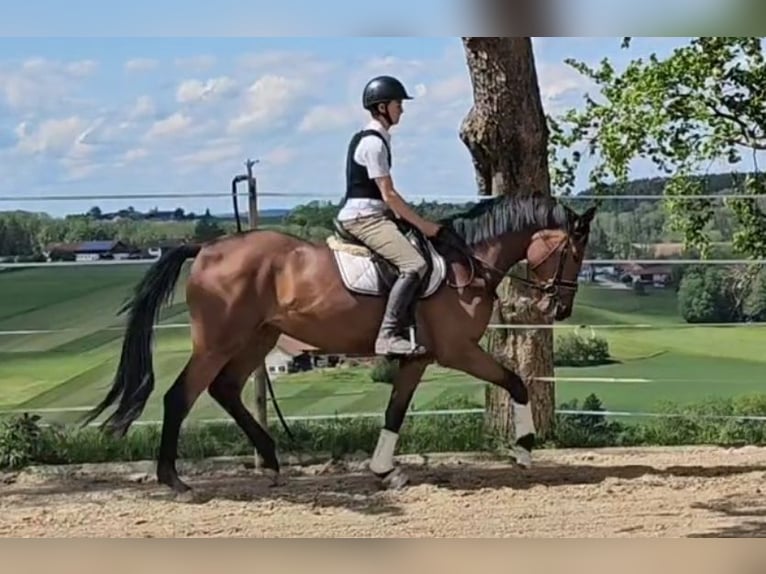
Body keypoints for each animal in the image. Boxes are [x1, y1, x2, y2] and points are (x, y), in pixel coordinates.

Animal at [84, 194, 600, 496]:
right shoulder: (458, 351)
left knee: (225, 390)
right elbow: (515, 382)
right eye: (574, 252)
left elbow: (395, 411)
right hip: (218, 341)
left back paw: (271, 460)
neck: (466, 265)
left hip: (256, 338)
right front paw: (524, 449)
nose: (561, 308)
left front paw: (385, 470)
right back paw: (174, 479)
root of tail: (208, 249)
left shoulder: (419, 358)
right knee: (181, 396)